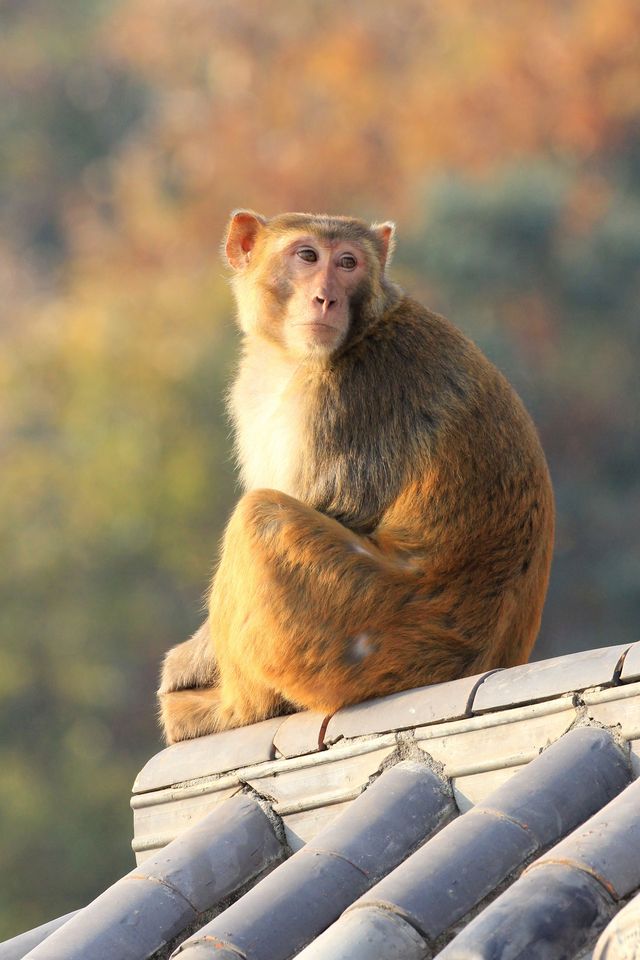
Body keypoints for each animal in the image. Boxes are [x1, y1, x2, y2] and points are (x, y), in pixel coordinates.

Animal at [158, 210, 552, 748]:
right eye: (308, 256)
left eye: (348, 263)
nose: (326, 297)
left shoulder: (349, 396)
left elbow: (336, 508)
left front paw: (191, 661)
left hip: (361, 627)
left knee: (262, 517)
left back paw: (234, 710)